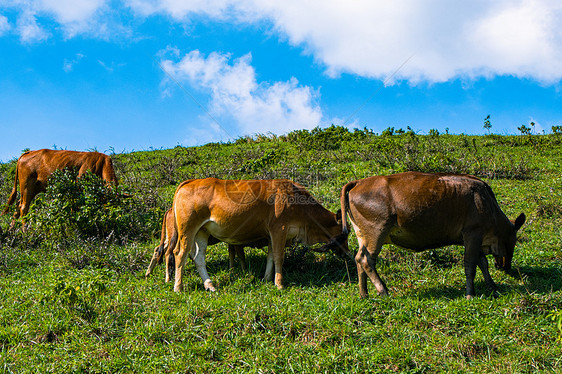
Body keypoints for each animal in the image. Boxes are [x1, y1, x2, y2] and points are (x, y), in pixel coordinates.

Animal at [171, 178, 342, 292]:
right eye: (343, 234)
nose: (346, 253)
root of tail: (189, 182)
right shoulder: (279, 229)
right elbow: (279, 257)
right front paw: (279, 284)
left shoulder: (272, 235)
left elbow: (271, 257)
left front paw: (266, 278)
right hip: (188, 229)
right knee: (180, 253)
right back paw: (178, 287)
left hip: (202, 232)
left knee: (199, 257)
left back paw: (210, 285)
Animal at [322, 172, 524, 298]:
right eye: (514, 240)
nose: (506, 267)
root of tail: (359, 182)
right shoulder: (473, 234)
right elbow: (470, 266)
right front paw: (470, 294)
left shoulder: (477, 239)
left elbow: (483, 263)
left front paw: (493, 286)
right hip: (376, 231)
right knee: (366, 259)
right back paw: (383, 290)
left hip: (362, 234)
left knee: (358, 259)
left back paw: (364, 293)